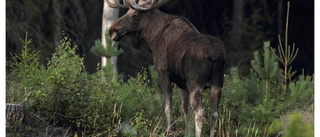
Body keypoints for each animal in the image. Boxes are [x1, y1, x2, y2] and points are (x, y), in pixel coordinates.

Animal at [106, 0, 226, 136]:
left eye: (136, 15)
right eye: (127, 11)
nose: (112, 31)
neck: (153, 40)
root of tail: (214, 56)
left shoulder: (163, 72)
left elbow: (168, 107)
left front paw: (169, 132)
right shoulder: (183, 83)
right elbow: (184, 108)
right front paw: (186, 132)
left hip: (195, 83)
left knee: (200, 112)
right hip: (217, 82)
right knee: (214, 113)